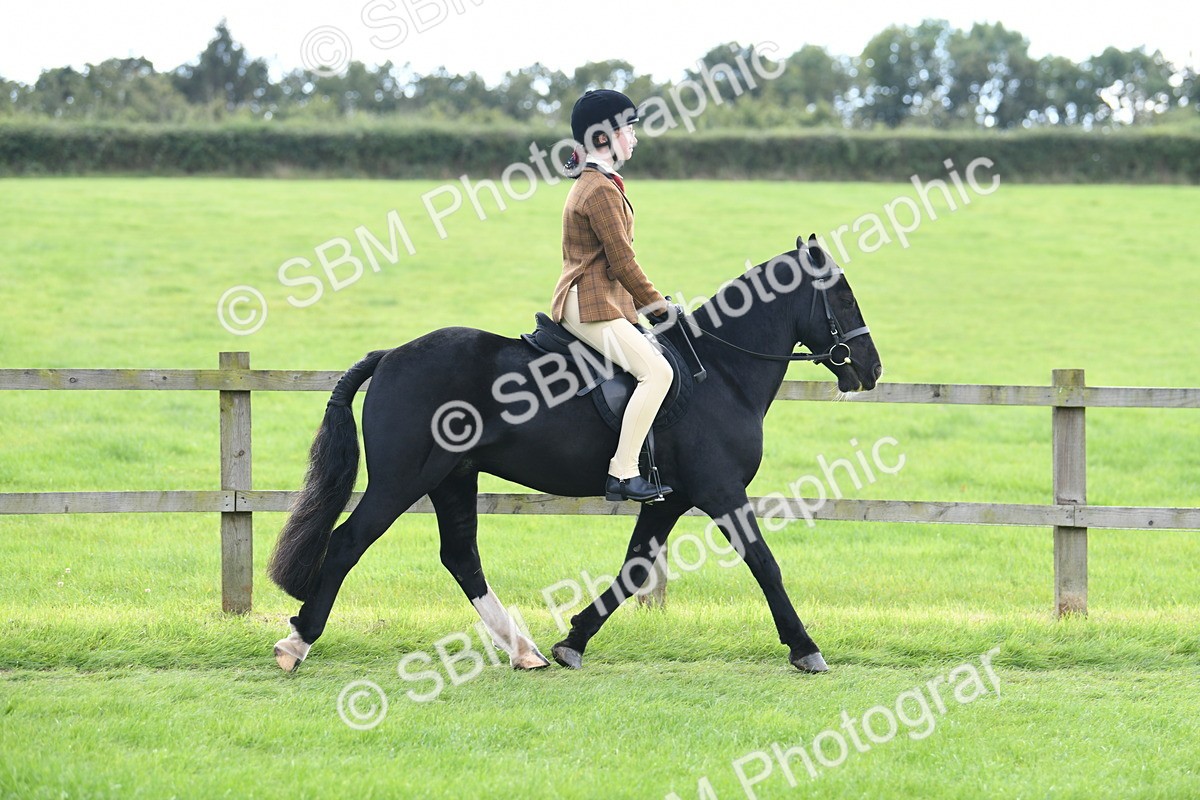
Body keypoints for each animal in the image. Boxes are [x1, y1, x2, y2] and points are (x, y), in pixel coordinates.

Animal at [268, 235, 882, 674]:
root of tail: (392, 354)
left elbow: (635, 569)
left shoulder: (669, 499)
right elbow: (764, 563)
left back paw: (525, 650)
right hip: (402, 480)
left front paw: (573, 639)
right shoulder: (720, 491)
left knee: (461, 557)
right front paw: (805, 648)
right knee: (348, 543)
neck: (723, 370)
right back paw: (298, 642)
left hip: (452, 477)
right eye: (844, 295)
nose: (871, 369)